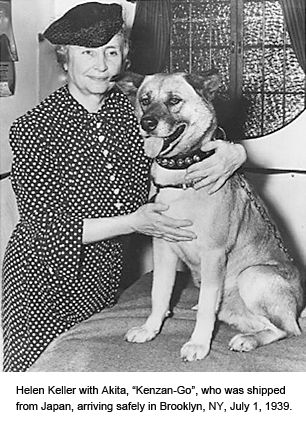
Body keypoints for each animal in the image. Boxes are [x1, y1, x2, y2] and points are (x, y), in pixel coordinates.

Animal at [121, 72, 304, 362]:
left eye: (174, 100)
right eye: (145, 100)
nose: (147, 123)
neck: (181, 176)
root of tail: (299, 308)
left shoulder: (213, 254)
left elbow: (208, 305)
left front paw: (198, 344)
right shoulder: (163, 249)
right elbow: (159, 293)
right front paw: (150, 329)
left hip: (253, 275)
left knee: (287, 330)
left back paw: (248, 340)